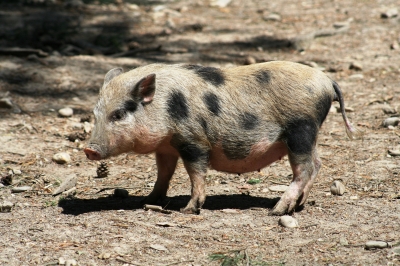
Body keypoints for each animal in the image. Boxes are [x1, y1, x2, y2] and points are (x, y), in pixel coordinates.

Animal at [83, 61, 360, 215]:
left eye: (119, 114)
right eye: (95, 113)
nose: (89, 150)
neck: (165, 106)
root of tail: (327, 80)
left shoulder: (193, 141)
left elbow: (196, 173)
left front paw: (188, 209)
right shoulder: (166, 147)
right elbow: (164, 173)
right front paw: (147, 201)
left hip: (301, 130)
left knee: (304, 169)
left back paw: (275, 211)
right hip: (309, 135)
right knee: (317, 164)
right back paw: (298, 206)